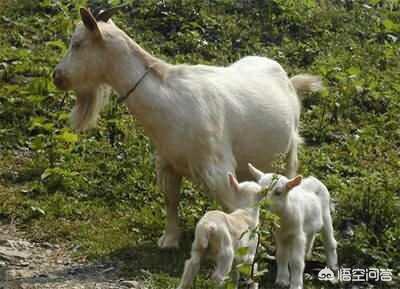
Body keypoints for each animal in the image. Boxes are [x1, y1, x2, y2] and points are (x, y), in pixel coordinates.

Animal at [53, 6, 322, 246]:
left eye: (77, 43)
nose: (57, 76)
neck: (170, 101)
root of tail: (288, 79)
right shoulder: (167, 163)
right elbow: (171, 201)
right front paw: (169, 239)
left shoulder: (219, 170)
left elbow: (234, 210)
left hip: (290, 151)